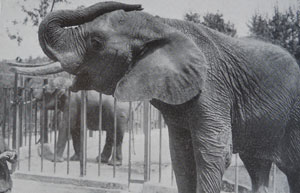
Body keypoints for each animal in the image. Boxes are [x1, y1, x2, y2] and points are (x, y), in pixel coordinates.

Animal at [10, 1, 300, 193]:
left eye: (95, 43)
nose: (137, 4)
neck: (163, 25)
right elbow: (181, 154)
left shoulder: (213, 88)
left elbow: (214, 152)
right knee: (257, 165)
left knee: (290, 167)